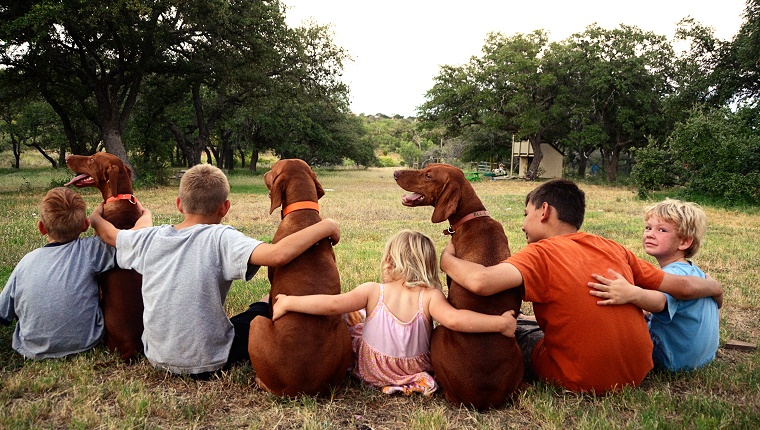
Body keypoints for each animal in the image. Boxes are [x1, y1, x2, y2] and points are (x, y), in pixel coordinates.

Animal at [251, 158, 354, 396]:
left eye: (273, 169)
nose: (264, 172)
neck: (303, 212)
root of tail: (298, 388)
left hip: (256, 323)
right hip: (344, 332)